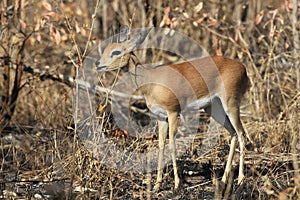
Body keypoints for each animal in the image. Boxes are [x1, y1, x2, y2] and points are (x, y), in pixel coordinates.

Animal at [95, 25, 248, 191]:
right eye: (106, 49)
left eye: (116, 51)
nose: (98, 64)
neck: (151, 81)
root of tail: (243, 68)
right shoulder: (161, 117)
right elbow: (161, 144)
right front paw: (157, 185)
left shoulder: (173, 112)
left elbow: (172, 144)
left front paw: (176, 183)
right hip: (213, 108)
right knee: (233, 133)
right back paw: (224, 179)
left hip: (231, 104)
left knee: (241, 133)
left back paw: (240, 180)